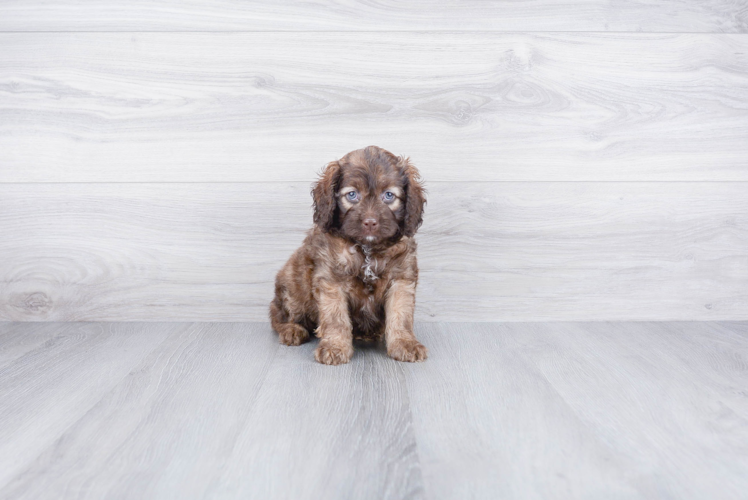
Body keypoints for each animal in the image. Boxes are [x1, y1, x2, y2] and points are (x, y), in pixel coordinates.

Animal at [272, 146, 430, 366]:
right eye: (352, 195)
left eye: (389, 195)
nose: (370, 222)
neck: (367, 250)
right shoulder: (331, 281)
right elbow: (336, 317)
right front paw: (335, 346)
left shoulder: (401, 280)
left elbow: (401, 315)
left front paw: (404, 343)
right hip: (293, 288)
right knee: (277, 316)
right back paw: (292, 329)